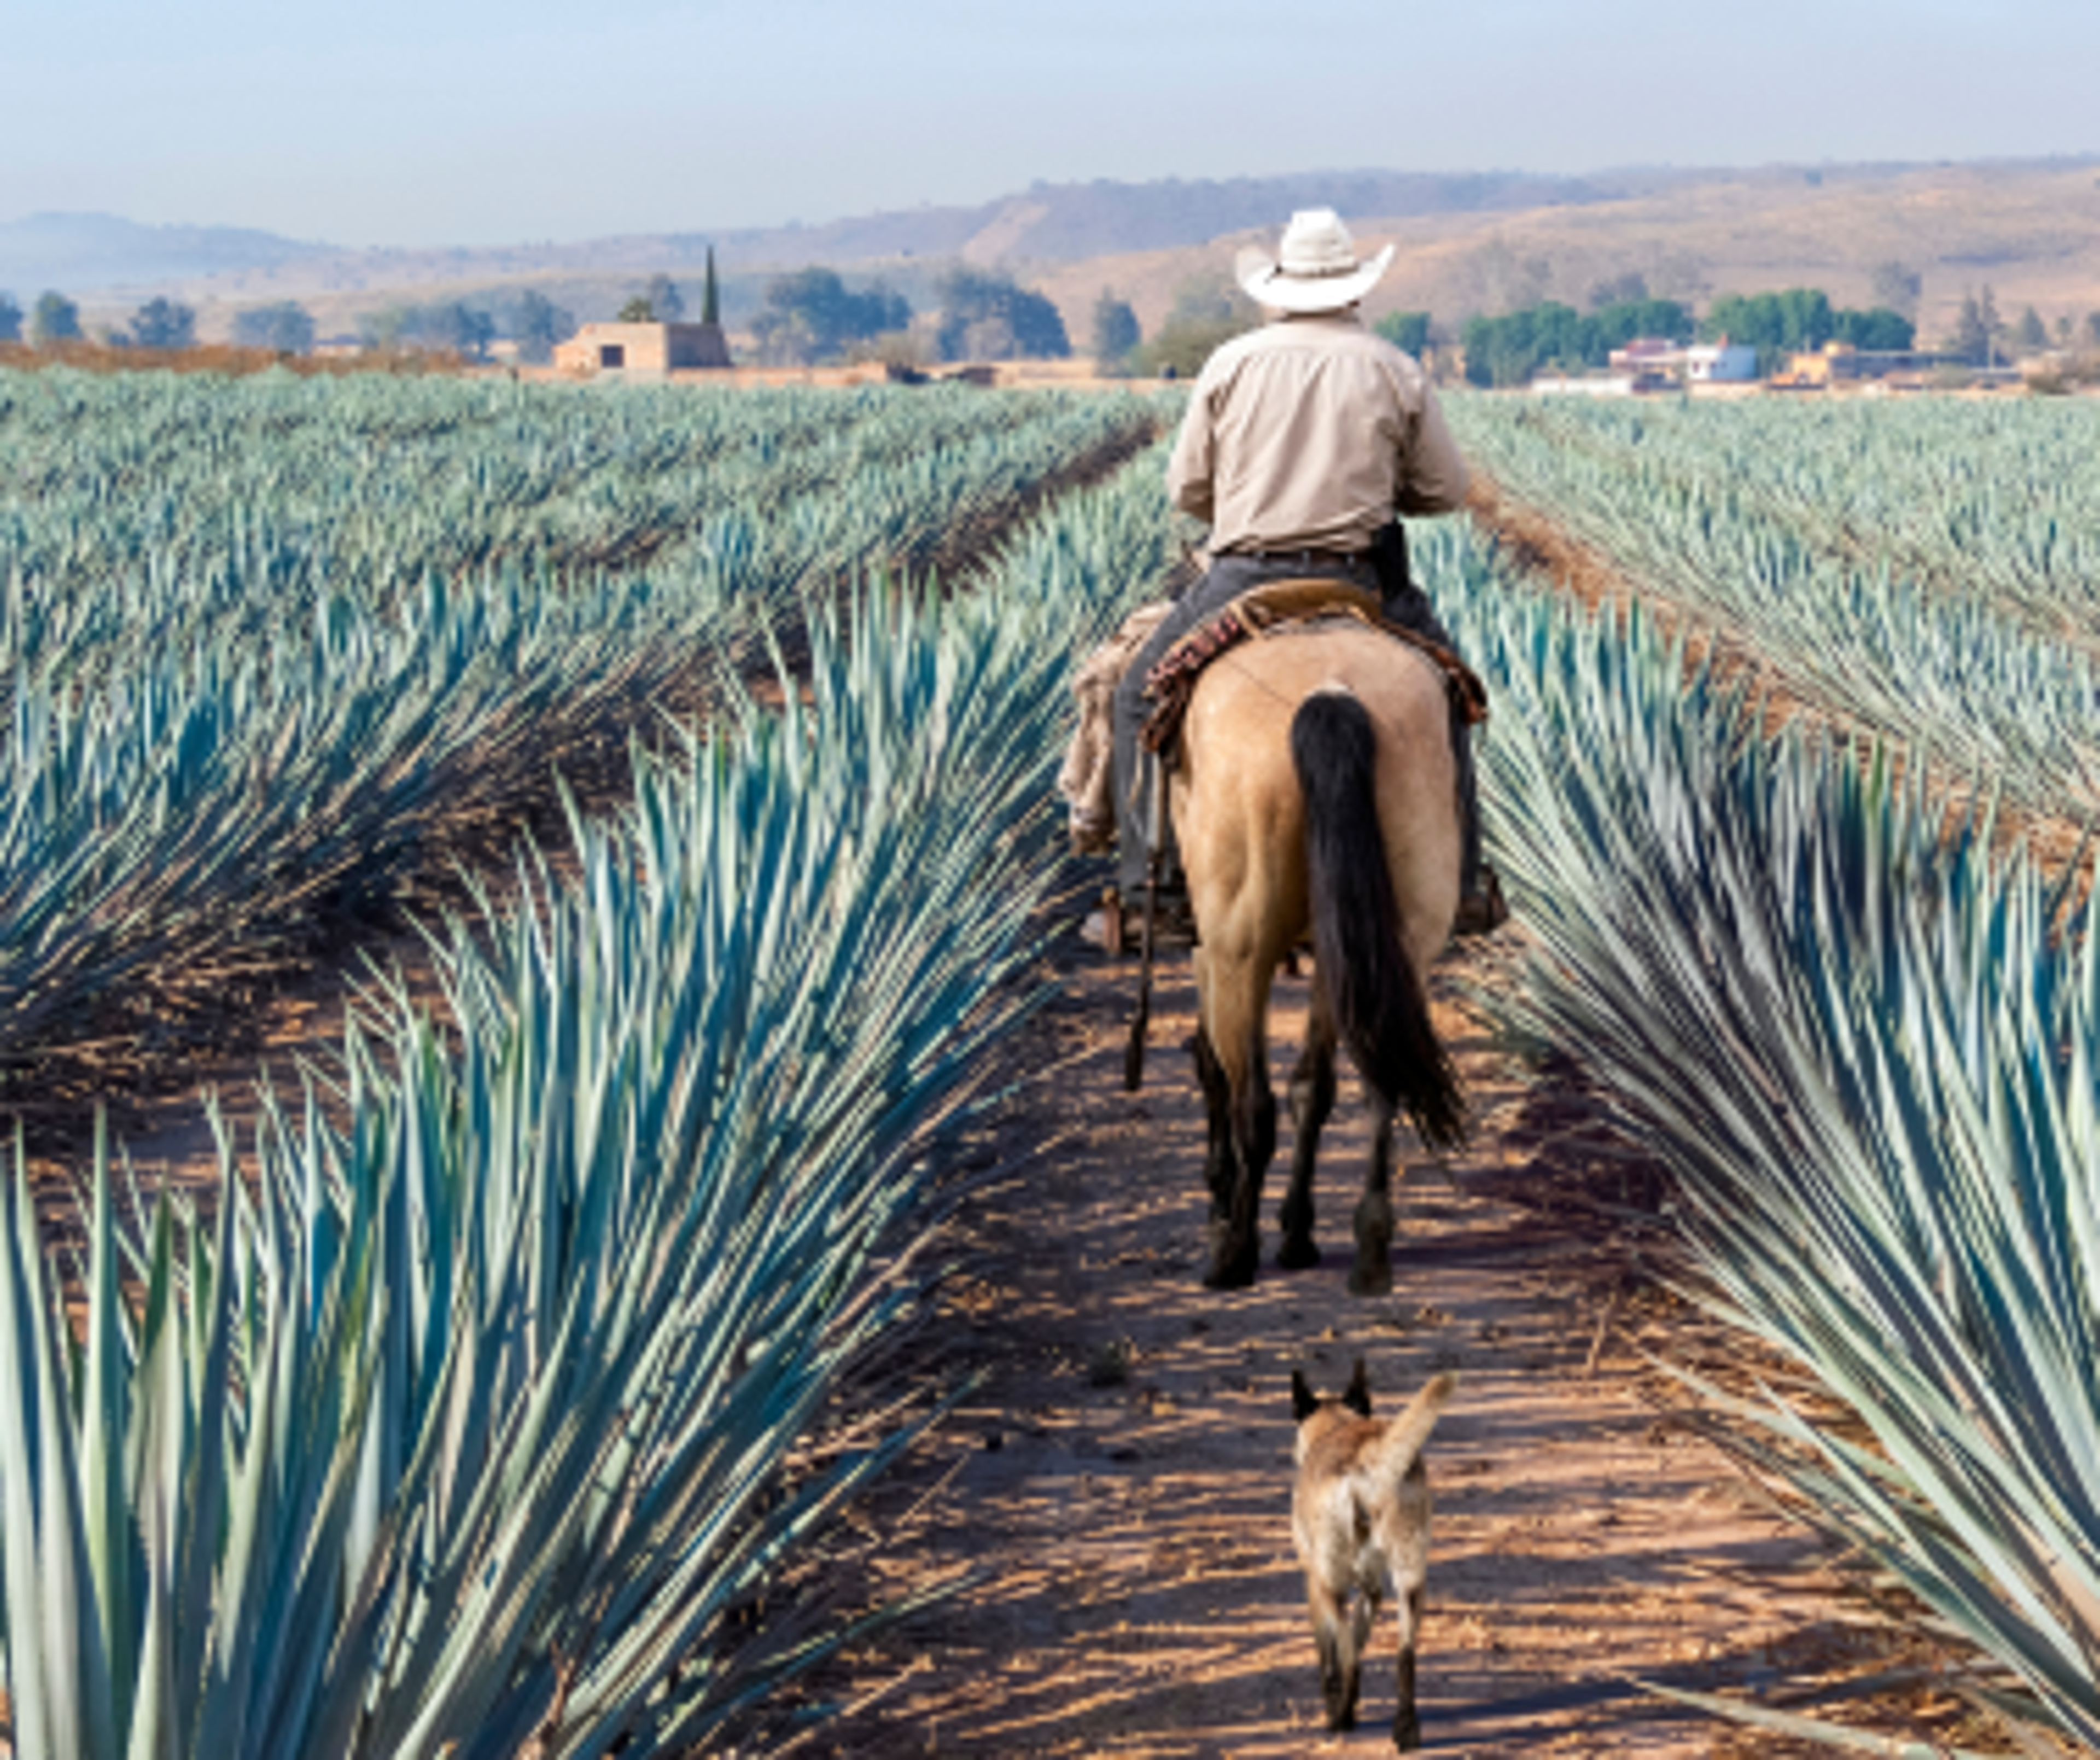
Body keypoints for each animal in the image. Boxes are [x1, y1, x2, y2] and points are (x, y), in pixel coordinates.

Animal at [1176, 626, 1470, 1285]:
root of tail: (1331, 692)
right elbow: (1314, 1089)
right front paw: (1296, 1229)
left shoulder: (1212, 950)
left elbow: (1214, 1068)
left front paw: (1220, 1205)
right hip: (1389, 940)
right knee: (1379, 1081)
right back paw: (1367, 1243)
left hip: (1243, 947)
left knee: (1253, 1102)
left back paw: (1235, 1255)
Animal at [1285, 1361, 1453, 1747]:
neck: (1336, 1424)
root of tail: (1366, 1457)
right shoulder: (1372, 1587)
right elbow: (1360, 1635)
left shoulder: (1314, 1584)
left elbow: (1332, 1656)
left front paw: (1336, 1703)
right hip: (1411, 1583)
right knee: (1405, 1658)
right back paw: (1406, 1729)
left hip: (1330, 1585)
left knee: (1350, 1661)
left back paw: (1341, 1718)